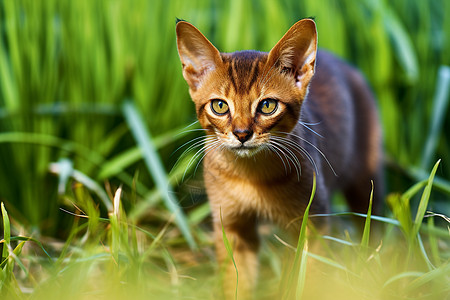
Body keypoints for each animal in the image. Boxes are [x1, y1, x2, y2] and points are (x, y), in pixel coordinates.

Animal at [176, 18, 384, 298]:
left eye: (267, 106)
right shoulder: (232, 225)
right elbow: (236, 282)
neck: (251, 177)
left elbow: (310, 279)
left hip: (366, 185)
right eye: (219, 106)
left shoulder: (312, 222)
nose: (242, 134)